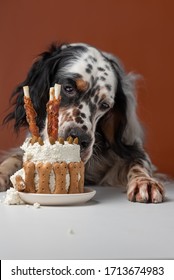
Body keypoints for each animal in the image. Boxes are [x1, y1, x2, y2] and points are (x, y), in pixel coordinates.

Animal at [0, 42, 164, 202]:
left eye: (105, 105)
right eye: (68, 88)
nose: (79, 139)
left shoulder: (131, 146)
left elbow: (139, 162)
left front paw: (145, 182)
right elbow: (14, 158)